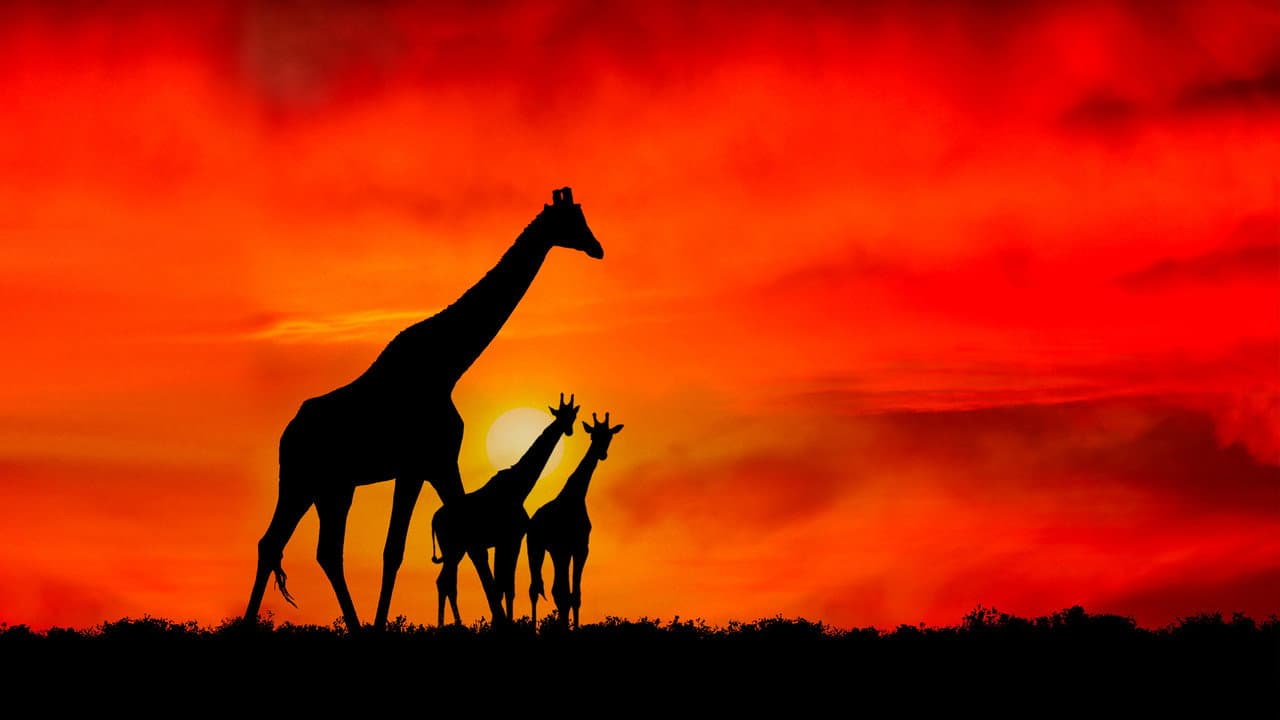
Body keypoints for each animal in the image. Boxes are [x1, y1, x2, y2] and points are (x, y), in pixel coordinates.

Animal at [430, 393, 578, 626]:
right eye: (562, 414)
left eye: (573, 415)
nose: (569, 430)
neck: (518, 488)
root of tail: (434, 520)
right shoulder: (511, 539)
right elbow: (506, 586)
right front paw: (504, 623)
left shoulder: (506, 541)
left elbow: (504, 586)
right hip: (453, 549)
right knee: (445, 582)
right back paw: (451, 624)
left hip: (455, 550)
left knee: (445, 581)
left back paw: (450, 623)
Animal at [526, 412, 622, 629]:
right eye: (593, 435)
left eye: (609, 436)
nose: (601, 454)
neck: (575, 497)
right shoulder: (563, 548)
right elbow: (565, 594)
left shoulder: (580, 548)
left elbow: (574, 595)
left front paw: (574, 628)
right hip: (535, 548)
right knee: (535, 589)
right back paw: (534, 628)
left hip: (554, 552)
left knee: (553, 589)